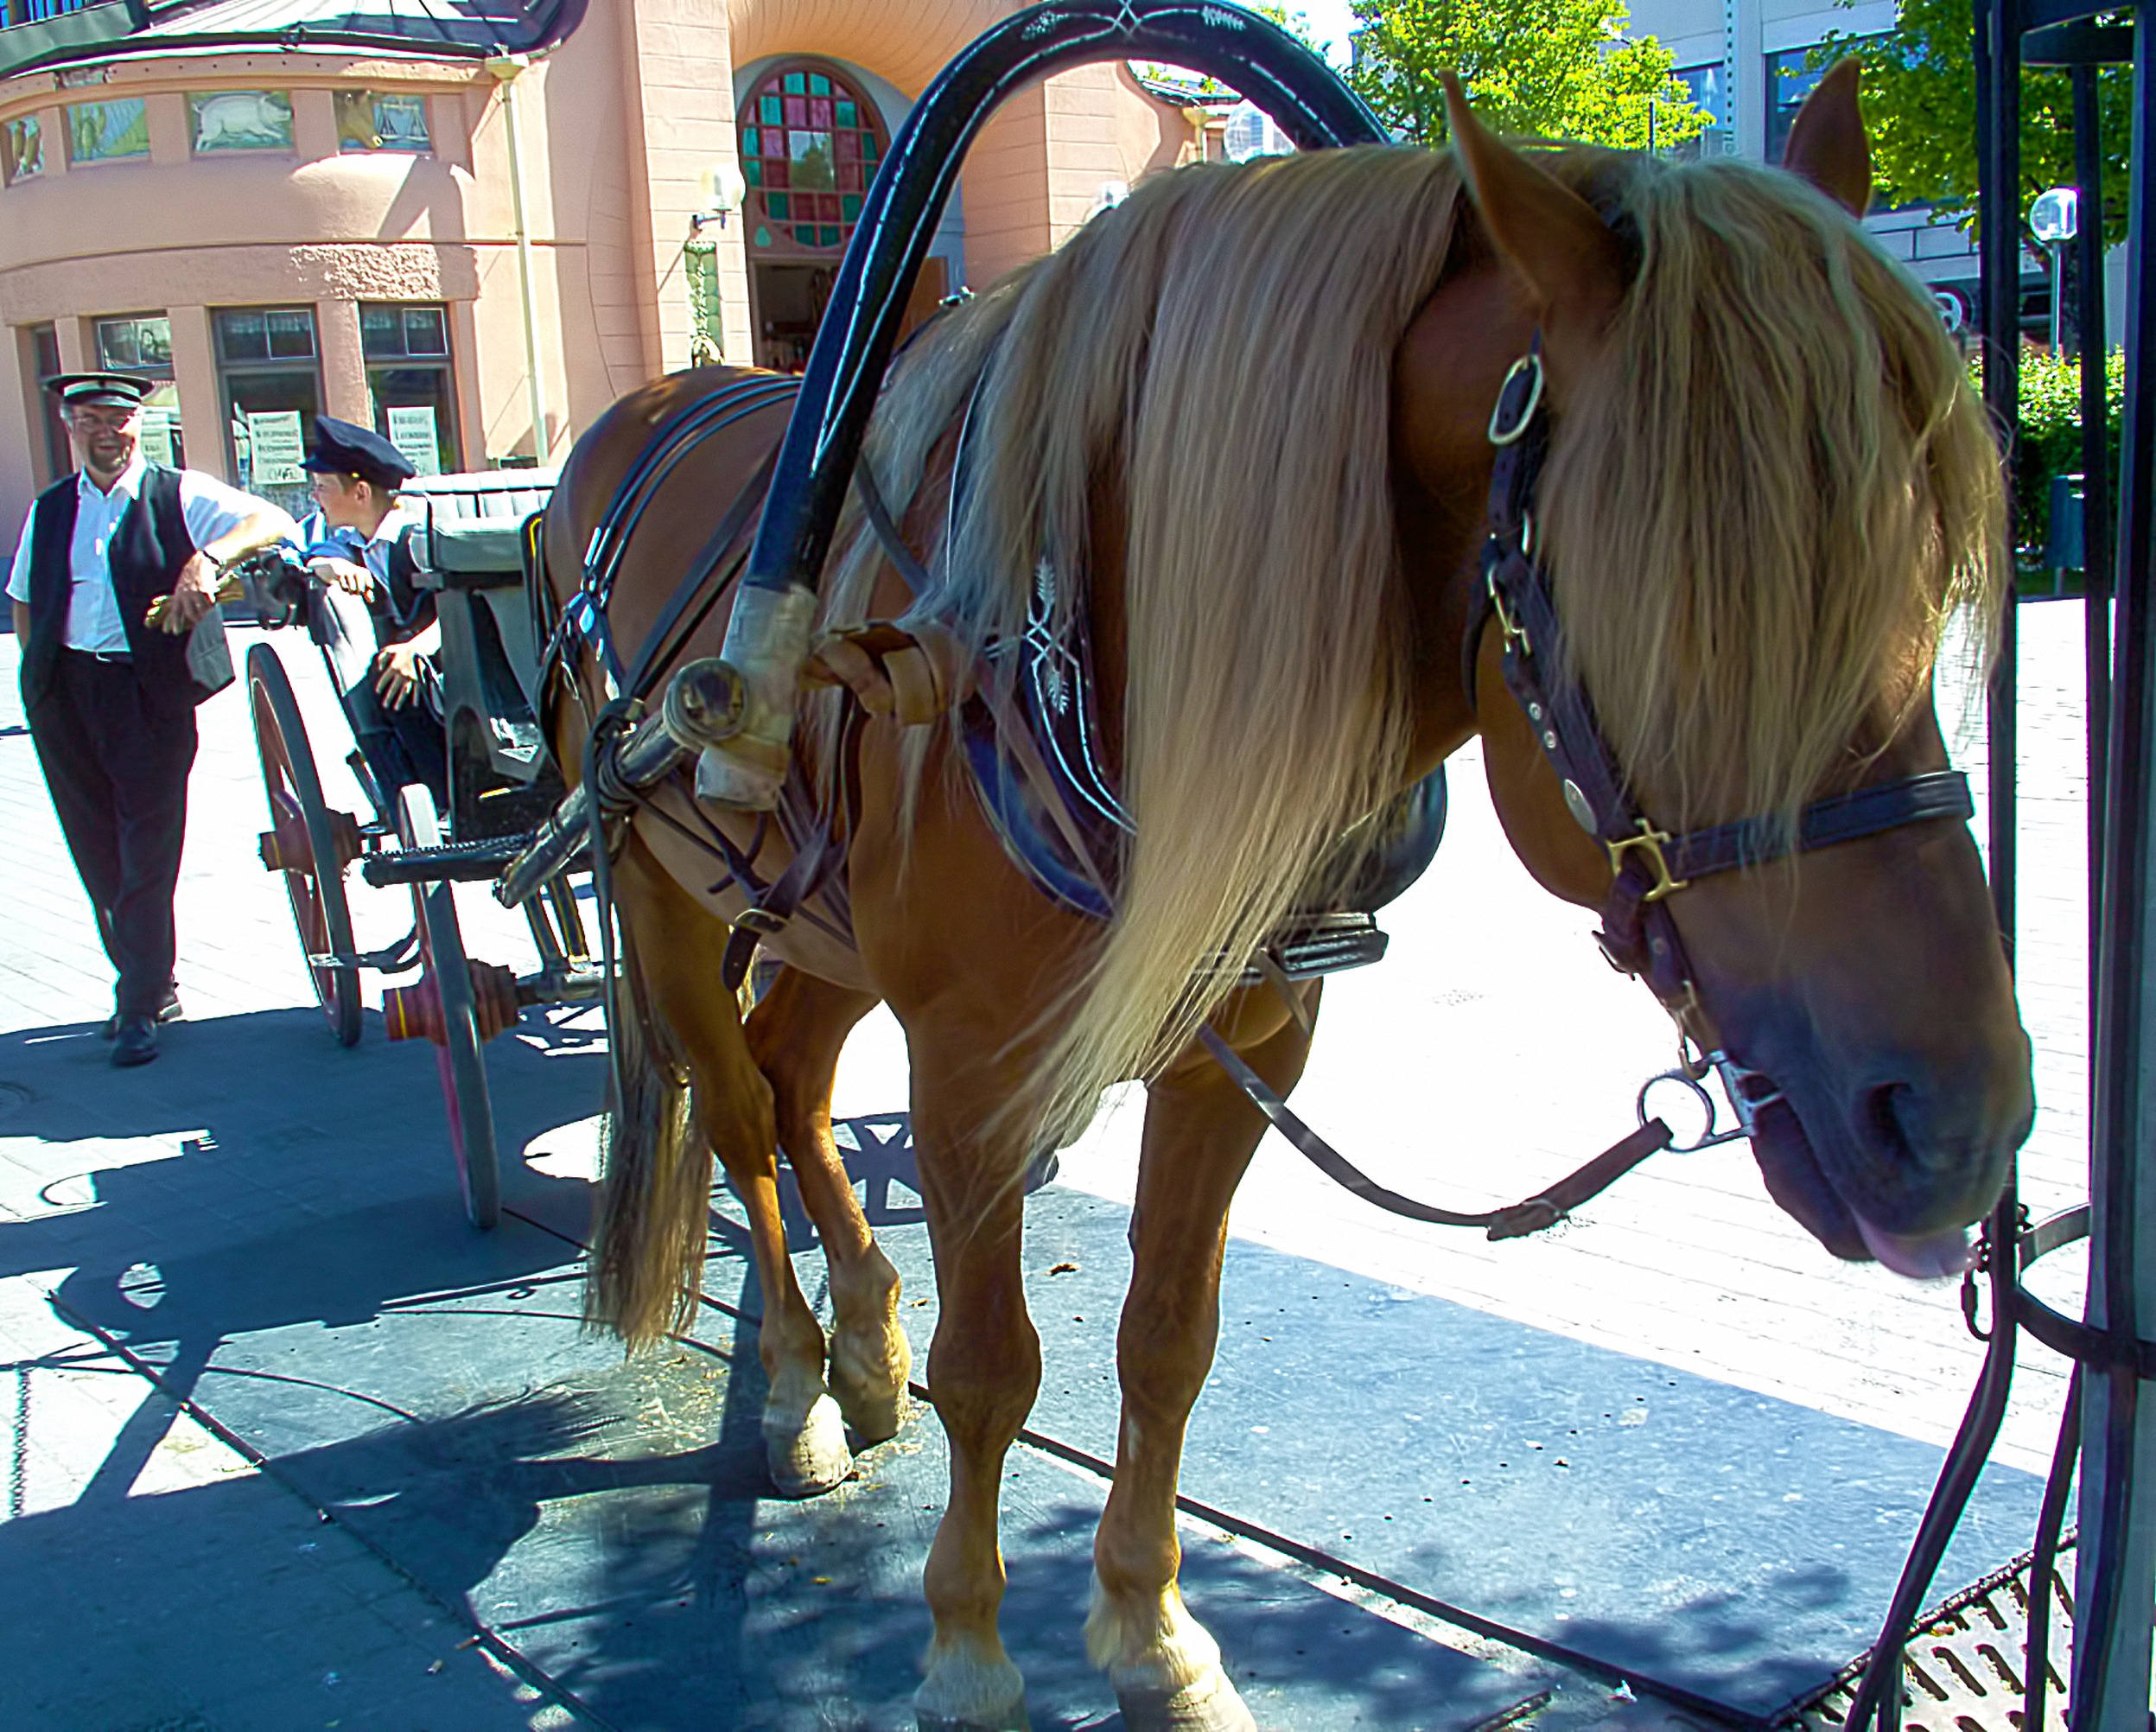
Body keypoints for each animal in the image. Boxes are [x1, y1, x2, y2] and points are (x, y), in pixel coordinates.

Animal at [535, 67, 2030, 1732]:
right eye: (1683, 611)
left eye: (1930, 574)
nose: (1954, 1126)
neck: (1091, 631)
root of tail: (636, 423)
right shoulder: (975, 1072)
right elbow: (997, 1368)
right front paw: (974, 1651)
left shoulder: (1241, 1050)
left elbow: (1166, 1344)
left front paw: (1154, 1631)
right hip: (661, 890)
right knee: (736, 1112)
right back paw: (799, 1380)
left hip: (825, 925)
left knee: (792, 1075)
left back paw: (863, 1341)